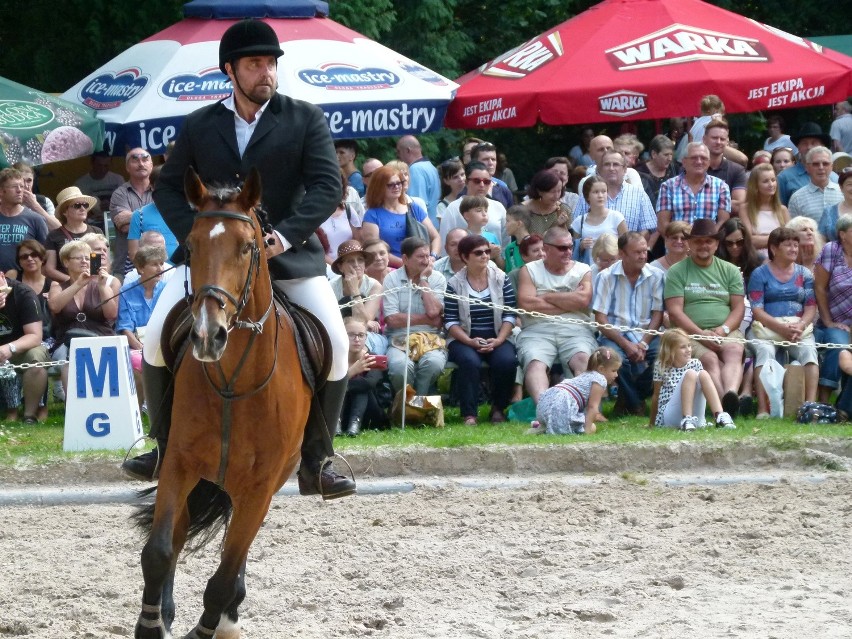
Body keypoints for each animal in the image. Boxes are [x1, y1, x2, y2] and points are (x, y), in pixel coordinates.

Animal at [131, 168, 310, 636]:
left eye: (248, 247)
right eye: (191, 246)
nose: (208, 336)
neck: (234, 379)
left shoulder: (260, 487)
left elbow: (225, 576)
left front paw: (210, 624)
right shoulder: (178, 462)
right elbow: (158, 551)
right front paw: (151, 624)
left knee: (237, 556)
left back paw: (228, 617)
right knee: (177, 538)